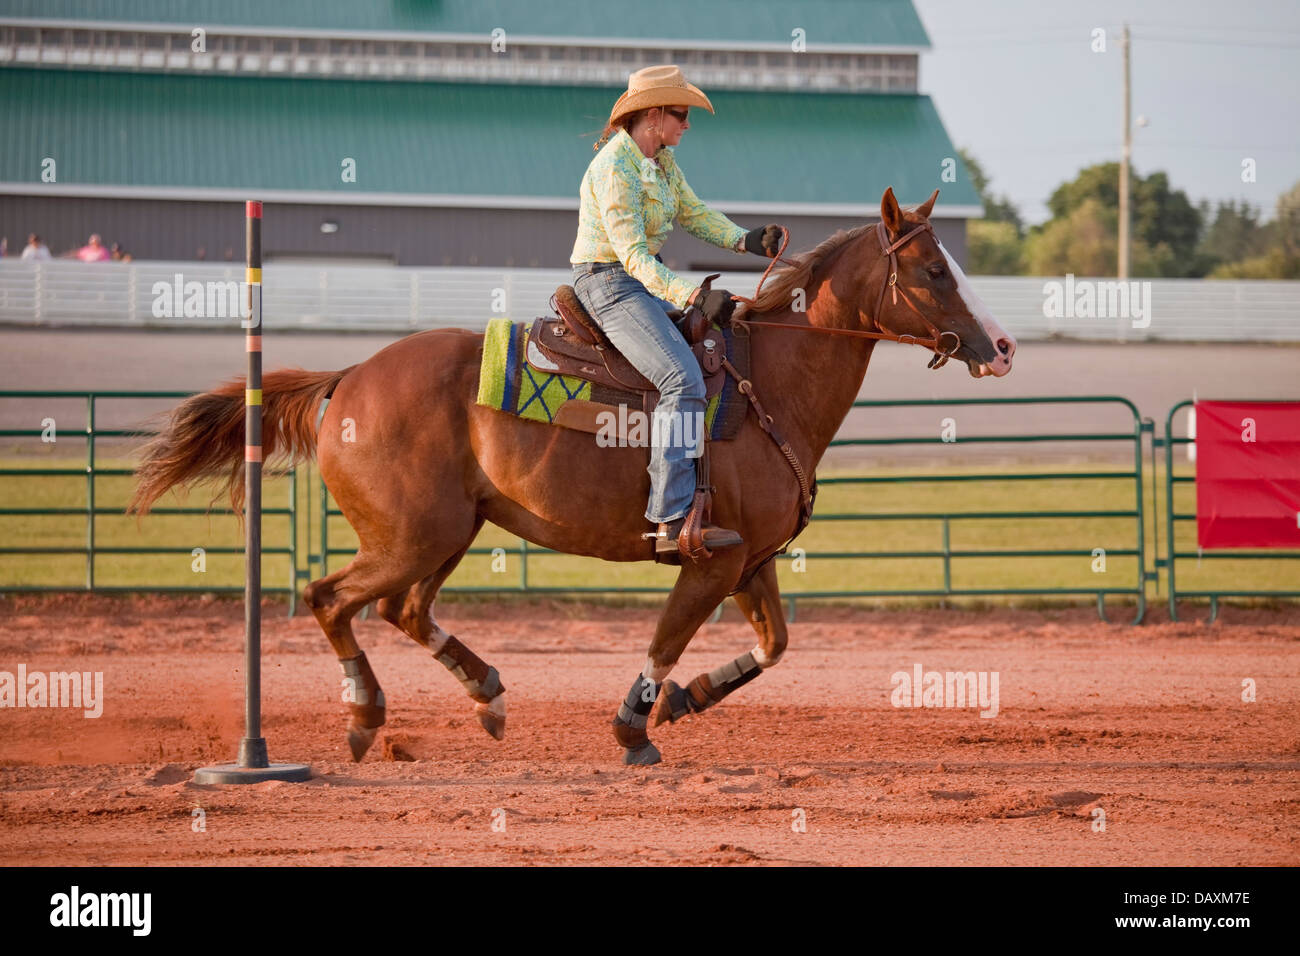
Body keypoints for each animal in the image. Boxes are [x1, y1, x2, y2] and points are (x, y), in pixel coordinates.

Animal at [130, 187, 1016, 766]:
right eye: (935, 270)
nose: (1003, 346)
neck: (772, 381)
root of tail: (348, 378)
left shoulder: (751, 563)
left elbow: (773, 646)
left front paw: (686, 699)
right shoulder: (711, 559)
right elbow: (665, 640)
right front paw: (633, 727)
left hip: (447, 533)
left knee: (400, 609)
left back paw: (486, 693)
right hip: (412, 537)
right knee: (332, 598)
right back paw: (365, 715)